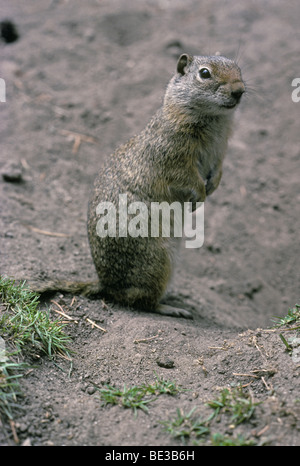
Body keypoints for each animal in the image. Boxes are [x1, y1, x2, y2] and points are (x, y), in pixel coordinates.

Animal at [31, 52, 246, 318]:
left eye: (238, 68)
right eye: (204, 73)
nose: (240, 90)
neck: (215, 121)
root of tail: (106, 285)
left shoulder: (219, 153)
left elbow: (217, 172)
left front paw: (212, 187)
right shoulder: (174, 158)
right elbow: (189, 178)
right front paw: (200, 197)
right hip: (158, 261)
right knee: (141, 301)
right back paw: (172, 308)